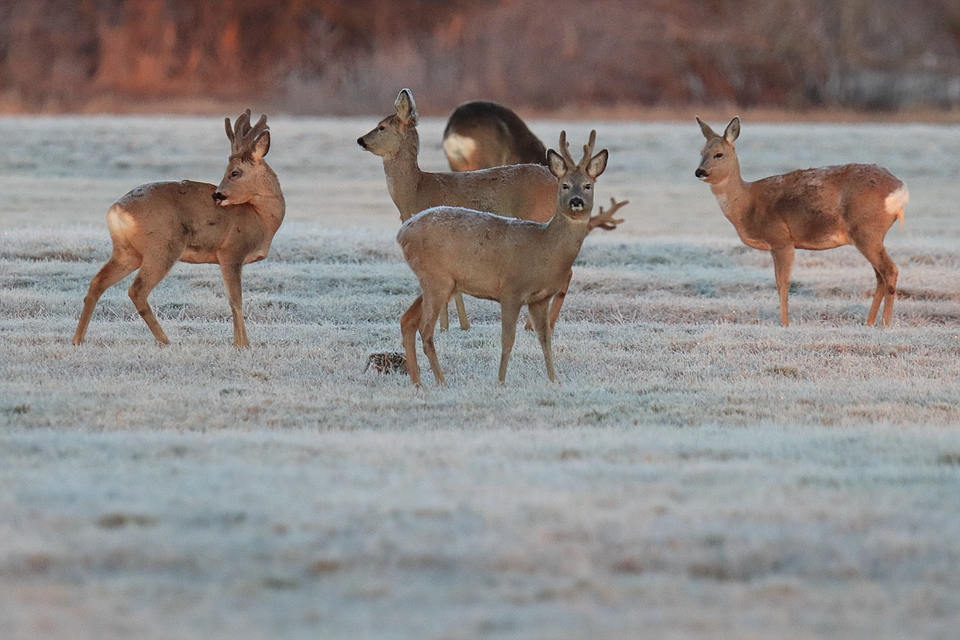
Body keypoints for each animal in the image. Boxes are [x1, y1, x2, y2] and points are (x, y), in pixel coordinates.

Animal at [71, 112, 284, 348]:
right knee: (137, 290)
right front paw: (242, 344)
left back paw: (77, 339)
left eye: (235, 173)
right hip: (162, 248)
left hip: (127, 252)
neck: (260, 217)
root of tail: (116, 210)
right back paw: (165, 340)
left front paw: (240, 342)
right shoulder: (231, 251)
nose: (217, 195)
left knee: (97, 283)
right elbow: (235, 300)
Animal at [358, 89, 624, 336]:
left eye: (381, 127)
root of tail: (560, 180)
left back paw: (535, 324)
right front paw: (459, 326)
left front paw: (446, 328)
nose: (361, 140)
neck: (416, 191)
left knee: (566, 272)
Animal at [396, 130, 608, 384]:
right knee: (425, 330)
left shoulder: (540, 299)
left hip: (438, 281)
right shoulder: (510, 291)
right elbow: (507, 340)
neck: (544, 247)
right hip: (436, 278)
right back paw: (441, 382)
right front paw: (501, 381)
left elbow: (545, 338)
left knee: (407, 320)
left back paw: (417, 382)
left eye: (588, 185)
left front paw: (554, 380)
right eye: (565, 185)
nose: (577, 201)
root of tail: (402, 232)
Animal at [696, 115, 908, 328]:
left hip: (867, 231)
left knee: (889, 271)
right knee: (880, 275)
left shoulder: (781, 240)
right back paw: (869, 322)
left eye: (719, 154)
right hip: (871, 235)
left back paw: (885, 323)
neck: (747, 204)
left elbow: (782, 282)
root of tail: (900, 190)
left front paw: (785, 323)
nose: (700, 172)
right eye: (701, 152)